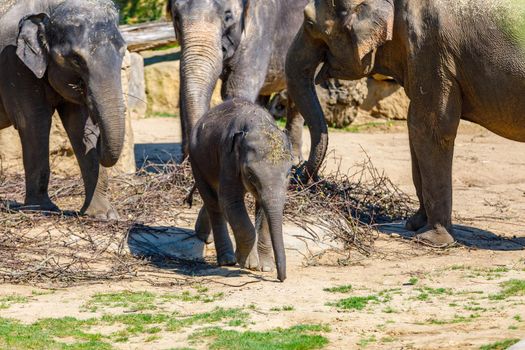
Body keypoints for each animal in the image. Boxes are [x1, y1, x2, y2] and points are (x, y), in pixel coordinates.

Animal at [0, 0, 127, 219]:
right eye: (76, 59)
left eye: (123, 52)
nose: (100, 139)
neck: (49, 8)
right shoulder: (14, 63)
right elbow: (34, 123)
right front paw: (42, 209)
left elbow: (79, 126)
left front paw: (103, 215)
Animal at [168, 0, 308, 161]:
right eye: (176, 17)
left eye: (228, 16)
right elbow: (184, 90)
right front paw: (186, 164)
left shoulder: (259, 28)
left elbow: (236, 91)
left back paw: (295, 159)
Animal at [190, 98, 292, 282]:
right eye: (250, 173)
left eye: (289, 172)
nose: (281, 278)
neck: (257, 123)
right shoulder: (229, 157)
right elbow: (230, 201)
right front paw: (247, 263)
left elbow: (264, 209)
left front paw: (266, 267)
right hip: (197, 161)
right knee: (213, 202)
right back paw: (227, 260)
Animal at [284, 0, 524, 246]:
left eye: (309, 23)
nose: (298, 172)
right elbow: (414, 127)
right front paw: (414, 225)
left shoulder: (431, 52)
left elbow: (431, 130)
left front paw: (430, 240)